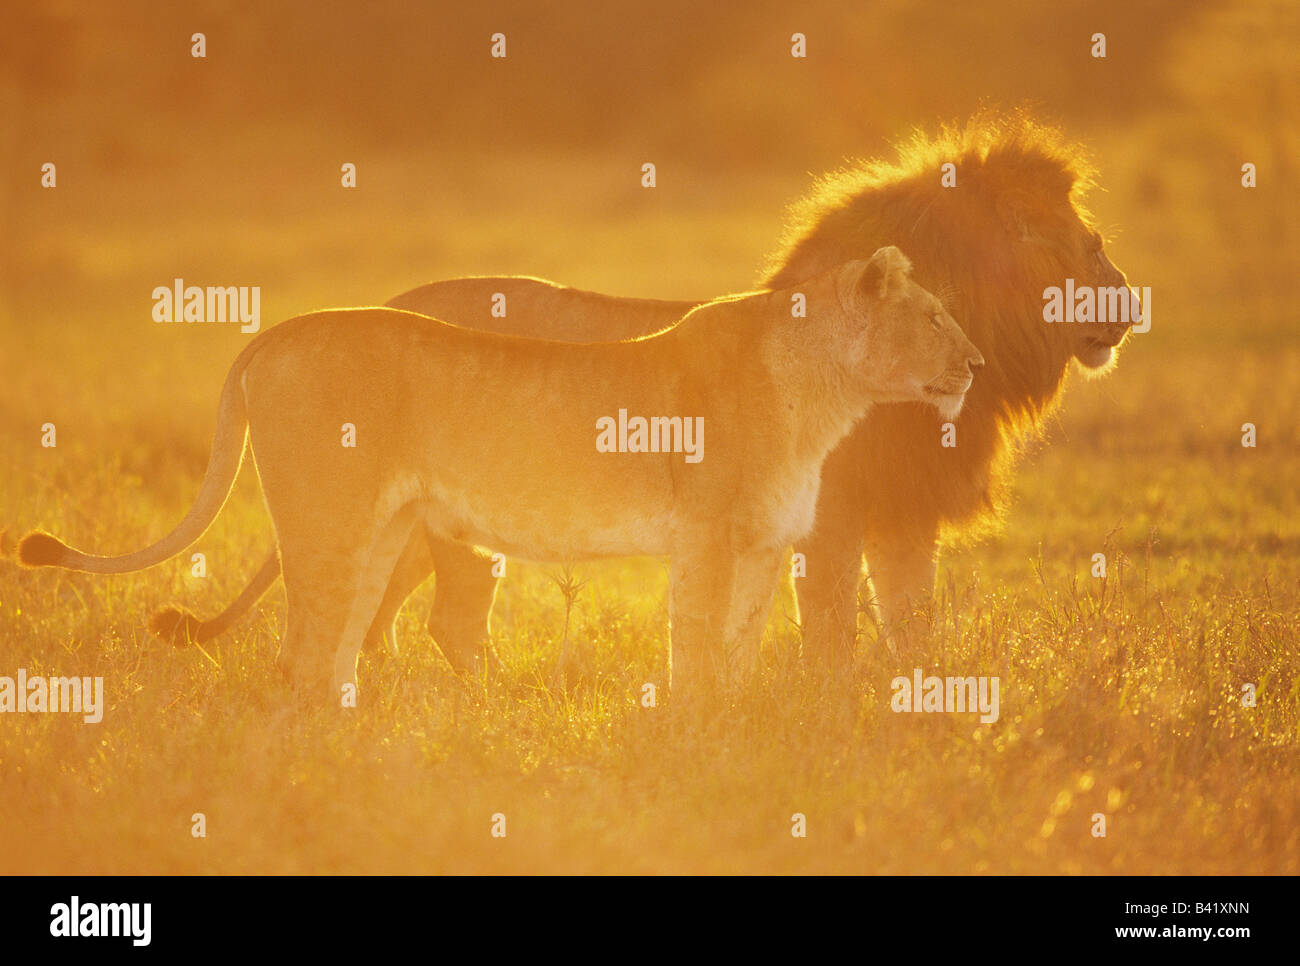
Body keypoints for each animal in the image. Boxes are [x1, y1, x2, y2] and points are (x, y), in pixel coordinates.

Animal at [20, 249, 977, 696]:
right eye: (934, 317)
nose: (973, 365)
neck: (822, 395)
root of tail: (278, 330)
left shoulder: (766, 544)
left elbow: (740, 651)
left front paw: (737, 727)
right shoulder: (704, 536)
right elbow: (699, 648)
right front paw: (696, 735)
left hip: (385, 531)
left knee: (341, 647)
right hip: (330, 525)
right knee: (302, 655)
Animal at [159, 113, 1138, 670]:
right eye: (1072, 238)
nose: (1129, 298)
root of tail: (387, 304)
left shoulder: (903, 515)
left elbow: (912, 629)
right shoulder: (828, 517)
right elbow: (828, 633)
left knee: (382, 619)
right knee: (426, 622)